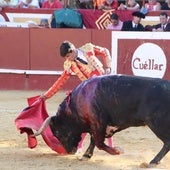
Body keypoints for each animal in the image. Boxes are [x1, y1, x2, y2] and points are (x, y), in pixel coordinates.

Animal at [34, 75, 170, 165]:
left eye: (57, 133)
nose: (70, 151)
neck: (75, 105)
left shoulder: (98, 123)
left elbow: (99, 142)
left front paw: (117, 151)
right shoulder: (96, 125)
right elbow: (93, 140)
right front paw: (86, 155)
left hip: (157, 124)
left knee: (167, 142)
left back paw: (153, 161)